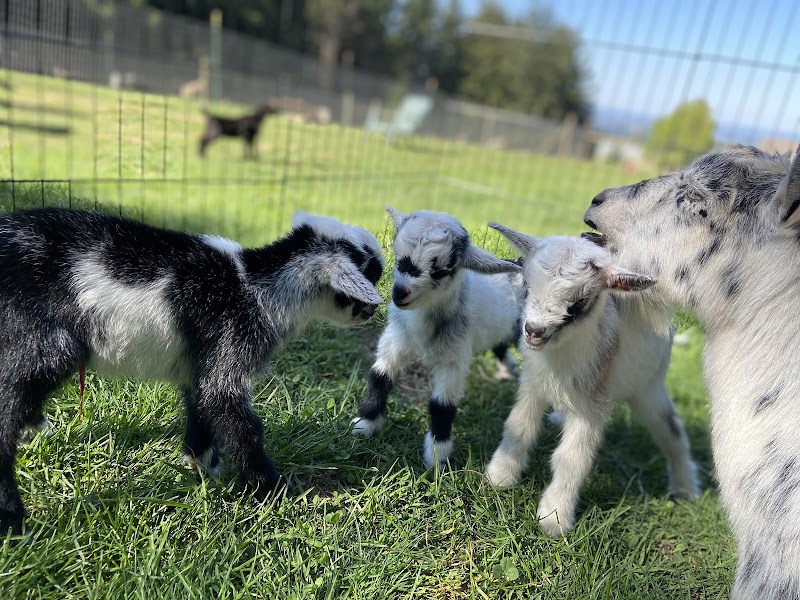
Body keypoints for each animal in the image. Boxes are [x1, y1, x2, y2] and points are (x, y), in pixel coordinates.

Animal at [0, 208, 384, 535]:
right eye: (372, 271)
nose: (375, 311)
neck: (257, 285)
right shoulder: (232, 345)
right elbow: (236, 418)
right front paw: (272, 489)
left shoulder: (202, 362)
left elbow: (201, 403)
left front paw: (202, 465)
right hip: (46, 342)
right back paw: (13, 521)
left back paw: (33, 429)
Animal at [351, 208, 523, 468]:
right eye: (398, 256)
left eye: (443, 269)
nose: (399, 293)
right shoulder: (396, 338)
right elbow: (380, 377)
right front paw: (365, 425)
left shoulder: (454, 358)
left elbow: (442, 405)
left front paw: (437, 460)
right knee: (501, 345)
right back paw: (507, 371)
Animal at [483, 225, 700, 536]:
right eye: (527, 285)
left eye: (578, 303)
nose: (534, 331)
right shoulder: (533, 386)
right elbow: (519, 427)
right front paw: (499, 477)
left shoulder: (593, 405)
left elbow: (571, 458)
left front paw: (554, 519)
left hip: (649, 387)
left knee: (672, 432)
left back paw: (686, 489)